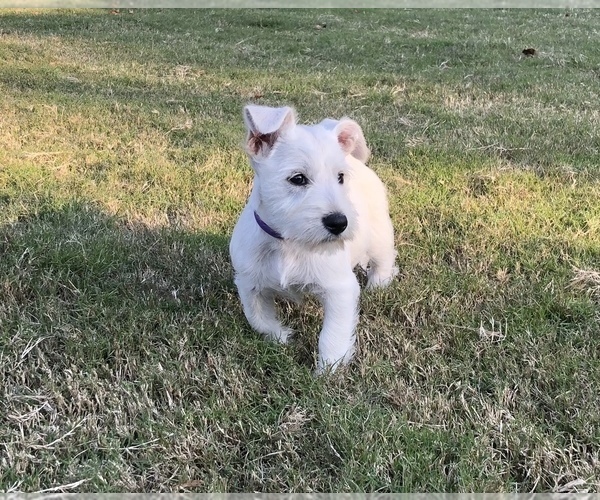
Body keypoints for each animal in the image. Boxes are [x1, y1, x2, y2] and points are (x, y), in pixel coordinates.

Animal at [230, 103, 398, 374]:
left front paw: (327, 371)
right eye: (298, 178)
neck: (289, 243)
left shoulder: (340, 290)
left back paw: (378, 285)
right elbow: (258, 319)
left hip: (380, 235)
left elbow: (332, 335)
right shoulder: (249, 284)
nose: (339, 223)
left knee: (384, 259)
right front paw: (281, 337)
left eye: (340, 177)